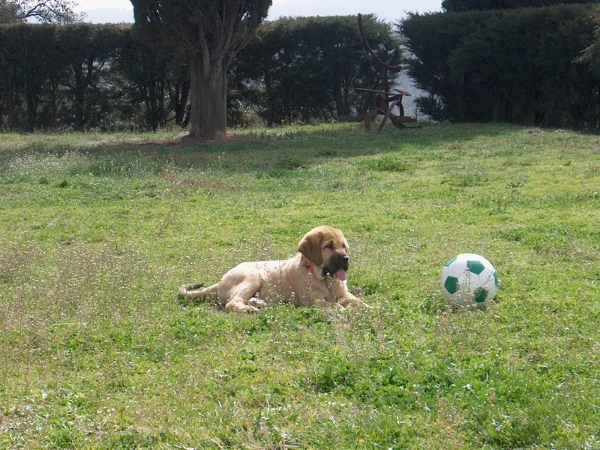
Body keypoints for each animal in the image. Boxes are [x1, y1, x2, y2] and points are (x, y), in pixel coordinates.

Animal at [178, 225, 366, 312]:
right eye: (329, 246)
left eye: (344, 246)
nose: (346, 259)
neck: (324, 278)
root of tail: (220, 281)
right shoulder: (312, 300)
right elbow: (335, 305)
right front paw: (343, 309)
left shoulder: (345, 294)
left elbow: (360, 302)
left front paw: (370, 309)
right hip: (252, 278)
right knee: (232, 302)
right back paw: (249, 310)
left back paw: (259, 303)